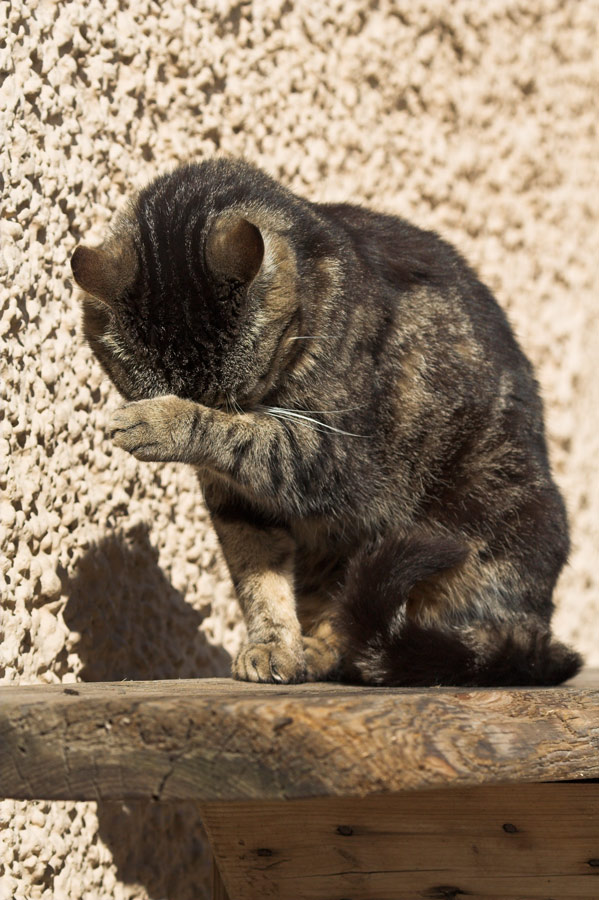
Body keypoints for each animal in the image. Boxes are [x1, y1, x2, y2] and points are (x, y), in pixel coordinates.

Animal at [69, 158, 580, 684]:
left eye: (234, 396)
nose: (219, 406)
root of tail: (536, 632)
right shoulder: (238, 501)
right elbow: (258, 576)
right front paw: (272, 645)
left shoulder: (339, 455)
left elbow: (246, 438)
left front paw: (162, 421)